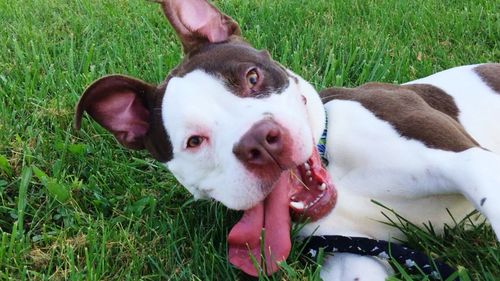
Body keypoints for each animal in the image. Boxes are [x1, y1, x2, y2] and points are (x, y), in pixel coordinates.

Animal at [75, 1, 500, 278]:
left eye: (252, 77)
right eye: (194, 142)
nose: (261, 141)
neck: (336, 168)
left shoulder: (471, 161)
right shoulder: (353, 254)